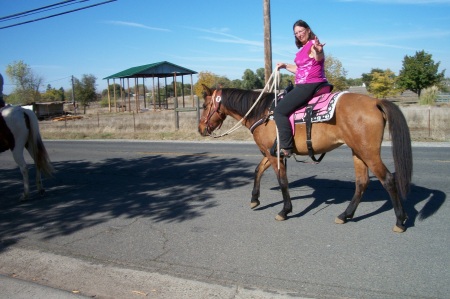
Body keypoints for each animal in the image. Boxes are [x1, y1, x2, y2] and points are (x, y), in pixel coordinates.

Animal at [199, 85, 414, 233]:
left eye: (204, 105)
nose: (200, 129)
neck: (263, 113)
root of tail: (375, 102)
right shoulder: (271, 153)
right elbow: (258, 170)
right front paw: (254, 199)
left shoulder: (274, 154)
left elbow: (282, 181)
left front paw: (285, 211)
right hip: (358, 152)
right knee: (362, 182)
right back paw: (345, 215)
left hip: (369, 152)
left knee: (388, 180)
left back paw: (400, 221)